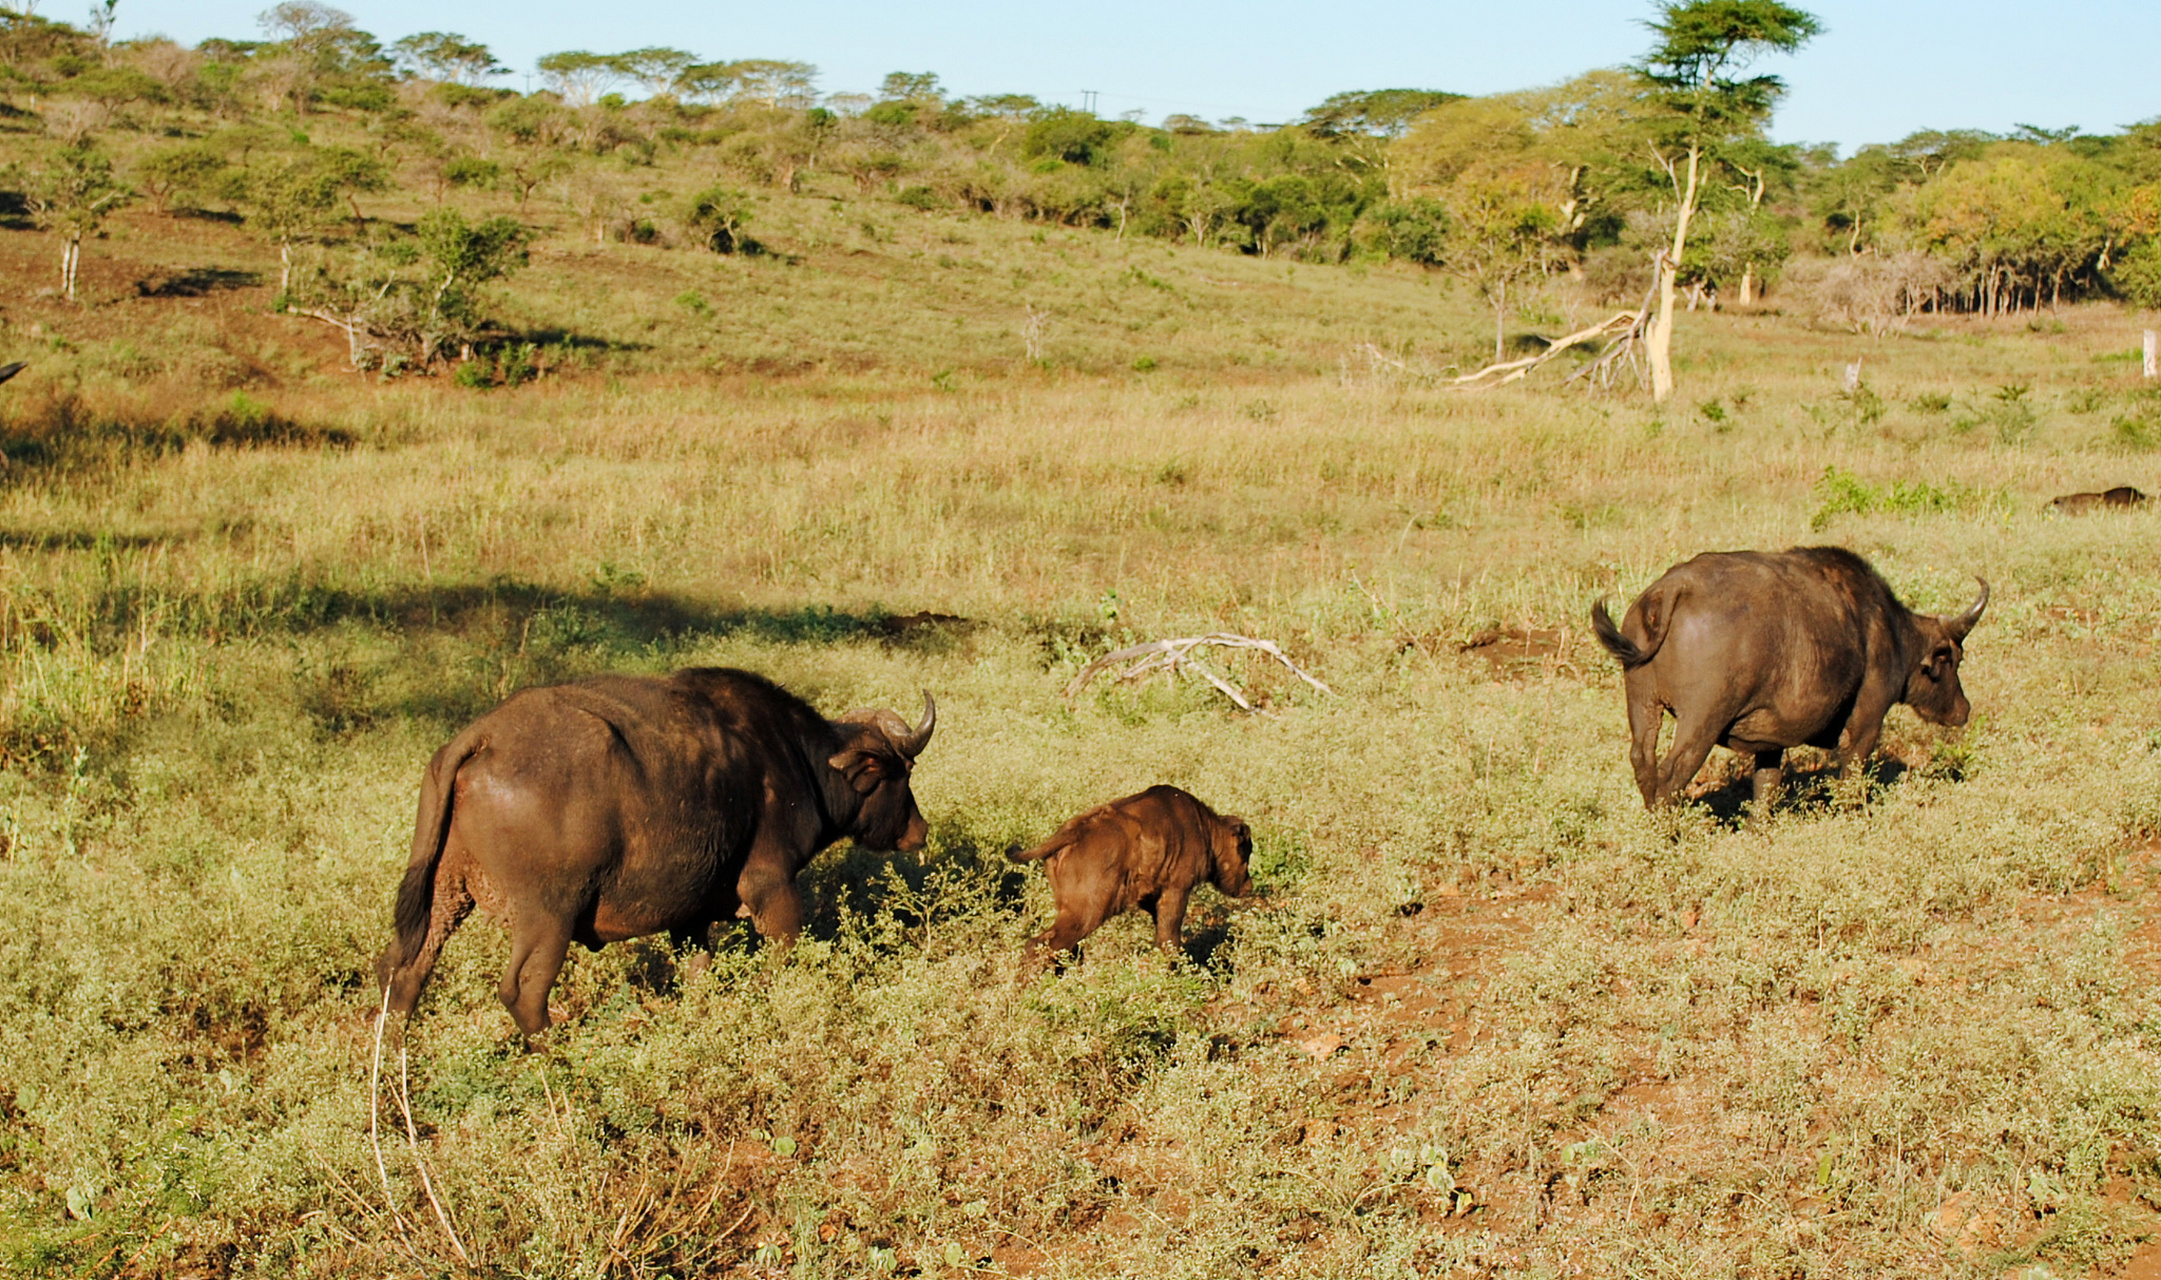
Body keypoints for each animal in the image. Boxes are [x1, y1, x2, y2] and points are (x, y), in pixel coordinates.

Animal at [376, 670, 933, 1037]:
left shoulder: (689, 917)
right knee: (523, 990)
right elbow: (785, 957)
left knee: (403, 970)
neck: (797, 759)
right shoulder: (772, 888)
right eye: (901, 771)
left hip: (443, 892)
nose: (920, 830)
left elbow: (698, 974)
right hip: (548, 915)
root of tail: (483, 737)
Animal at [1007, 787, 1262, 964]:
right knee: (1042, 945)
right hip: (1087, 913)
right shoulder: (1177, 889)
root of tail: (1073, 832)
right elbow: (1169, 936)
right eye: (1246, 851)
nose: (1248, 886)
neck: (1207, 828)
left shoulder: (1149, 895)